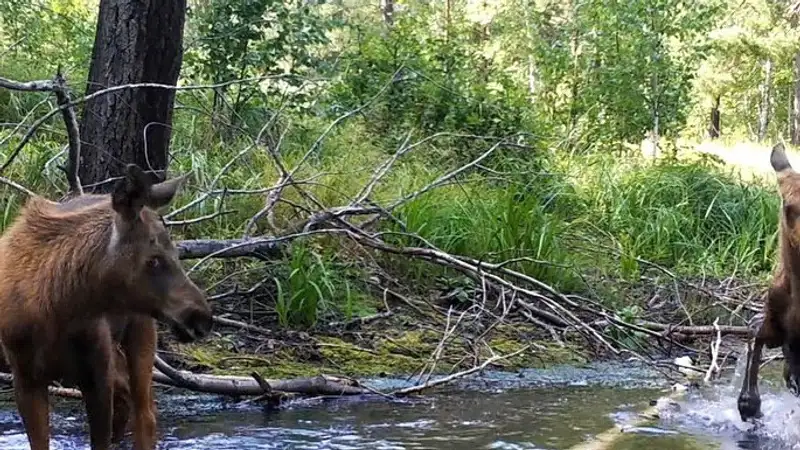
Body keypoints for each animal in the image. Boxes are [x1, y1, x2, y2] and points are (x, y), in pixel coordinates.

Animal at [0, 163, 212, 448]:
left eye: (178, 253)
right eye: (154, 259)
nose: (201, 317)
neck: (55, 308)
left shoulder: (97, 373)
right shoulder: (25, 377)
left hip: (141, 330)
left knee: (146, 414)